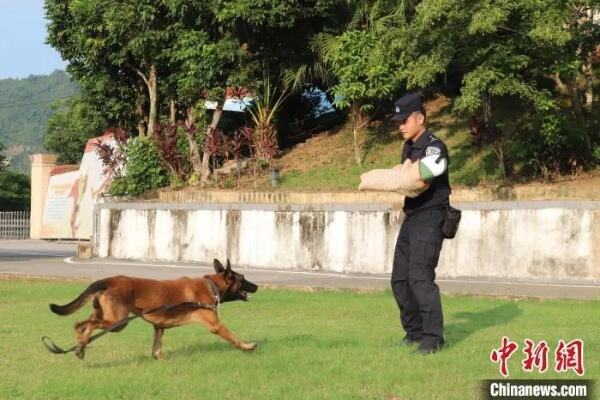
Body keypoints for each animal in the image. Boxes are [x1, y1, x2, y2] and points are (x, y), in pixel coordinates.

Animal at [48, 260, 258, 360]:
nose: (257, 286)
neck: (211, 285)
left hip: (105, 315)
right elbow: (234, 338)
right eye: (243, 278)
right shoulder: (215, 325)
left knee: (80, 324)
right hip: (118, 322)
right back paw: (82, 345)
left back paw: (80, 345)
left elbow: (157, 348)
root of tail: (109, 280)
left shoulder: (159, 327)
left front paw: (160, 359)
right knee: (89, 324)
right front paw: (247, 346)